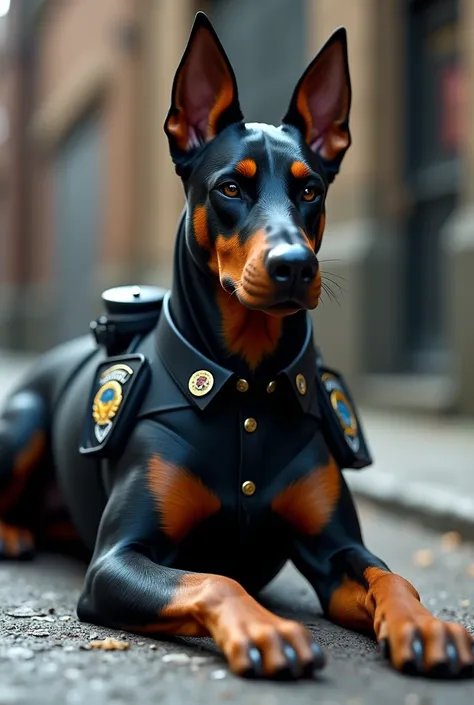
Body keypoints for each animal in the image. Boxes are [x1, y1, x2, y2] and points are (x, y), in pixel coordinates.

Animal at [0, 11, 474, 680]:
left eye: (311, 190)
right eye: (230, 188)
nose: (294, 266)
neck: (248, 382)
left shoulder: (336, 548)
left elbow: (393, 577)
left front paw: (427, 625)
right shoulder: (116, 559)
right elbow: (213, 579)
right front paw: (266, 629)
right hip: (20, 425)